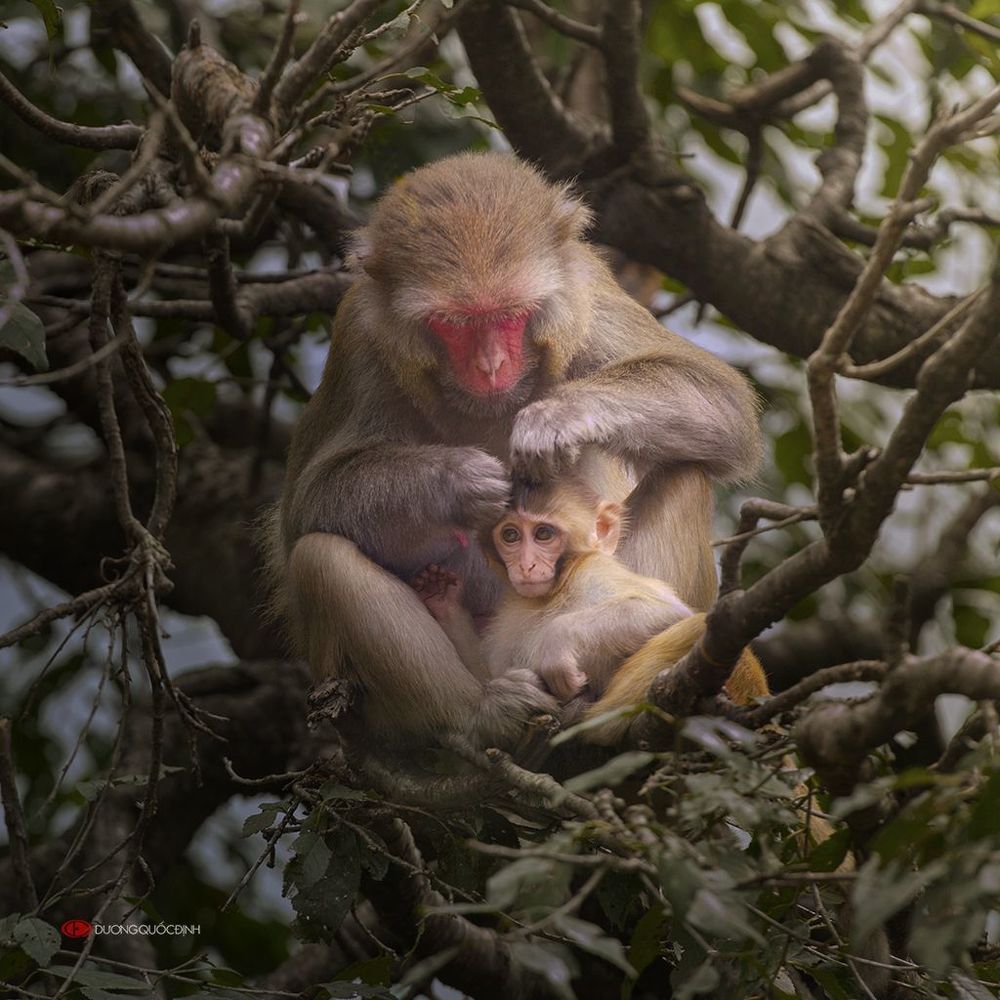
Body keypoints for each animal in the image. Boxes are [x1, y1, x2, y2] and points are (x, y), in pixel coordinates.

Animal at [268, 151, 762, 747]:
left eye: (509, 314)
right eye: (454, 323)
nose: (491, 367)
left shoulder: (585, 298)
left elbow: (721, 400)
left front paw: (556, 420)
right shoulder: (359, 335)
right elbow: (306, 506)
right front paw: (453, 481)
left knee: (684, 472)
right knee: (321, 557)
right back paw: (480, 716)